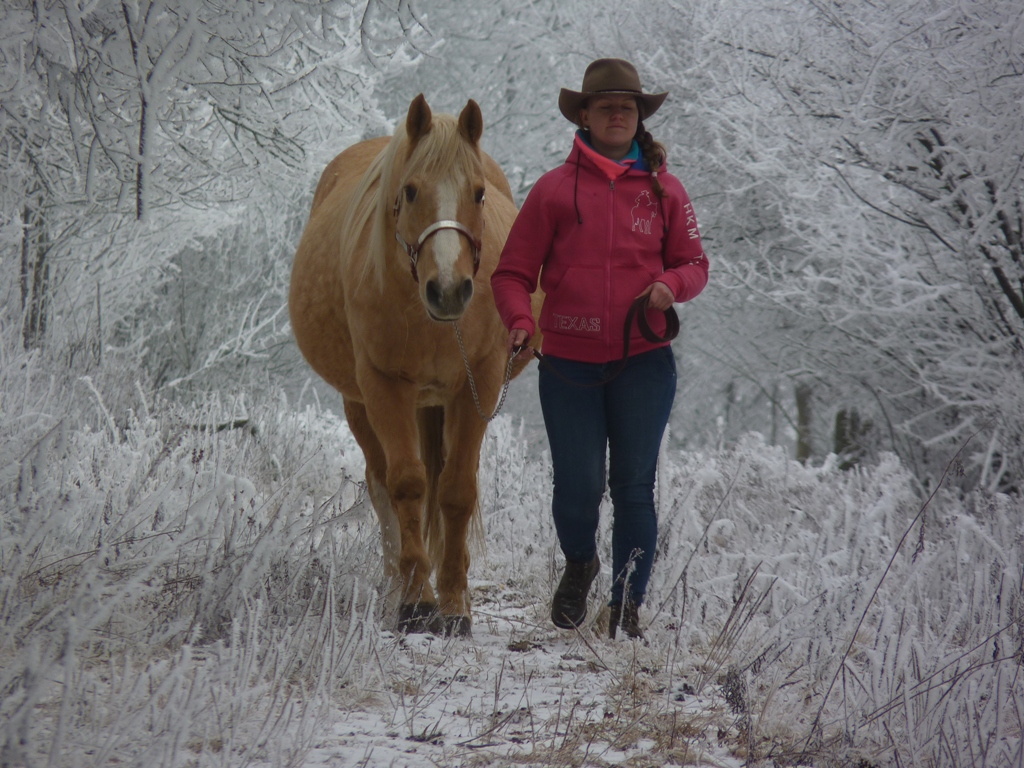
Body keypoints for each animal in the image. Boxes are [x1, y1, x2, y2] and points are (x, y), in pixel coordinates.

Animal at [288, 94, 540, 638]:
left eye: (478, 193)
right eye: (410, 190)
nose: (448, 289)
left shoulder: (477, 385)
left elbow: (457, 491)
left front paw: (455, 606)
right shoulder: (385, 387)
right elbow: (407, 485)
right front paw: (416, 602)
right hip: (359, 404)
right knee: (381, 483)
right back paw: (394, 586)